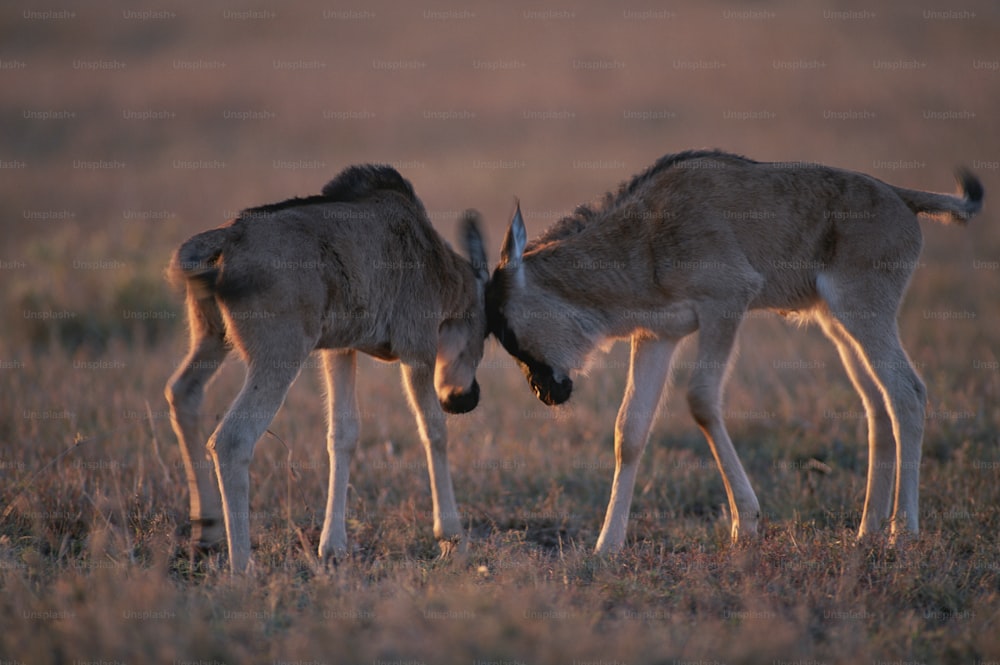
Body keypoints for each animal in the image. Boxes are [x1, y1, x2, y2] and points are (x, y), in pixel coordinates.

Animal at [165, 165, 488, 572]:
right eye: (487, 328)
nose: (466, 398)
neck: (435, 258)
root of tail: (227, 238)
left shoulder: (340, 350)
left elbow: (343, 434)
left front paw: (332, 546)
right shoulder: (418, 351)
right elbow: (434, 431)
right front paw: (451, 538)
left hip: (211, 339)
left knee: (182, 394)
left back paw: (206, 532)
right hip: (278, 357)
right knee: (231, 440)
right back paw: (242, 567)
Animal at [488, 149, 980, 548]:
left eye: (507, 330)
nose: (543, 392)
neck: (646, 234)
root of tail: (897, 195)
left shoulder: (725, 305)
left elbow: (702, 401)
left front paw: (746, 523)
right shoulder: (656, 337)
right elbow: (629, 430)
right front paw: (607, 546)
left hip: (864, 315)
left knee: (907, 392)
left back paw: (903, 532)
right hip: (840, 325)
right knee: (877, 402)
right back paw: (867, 530)